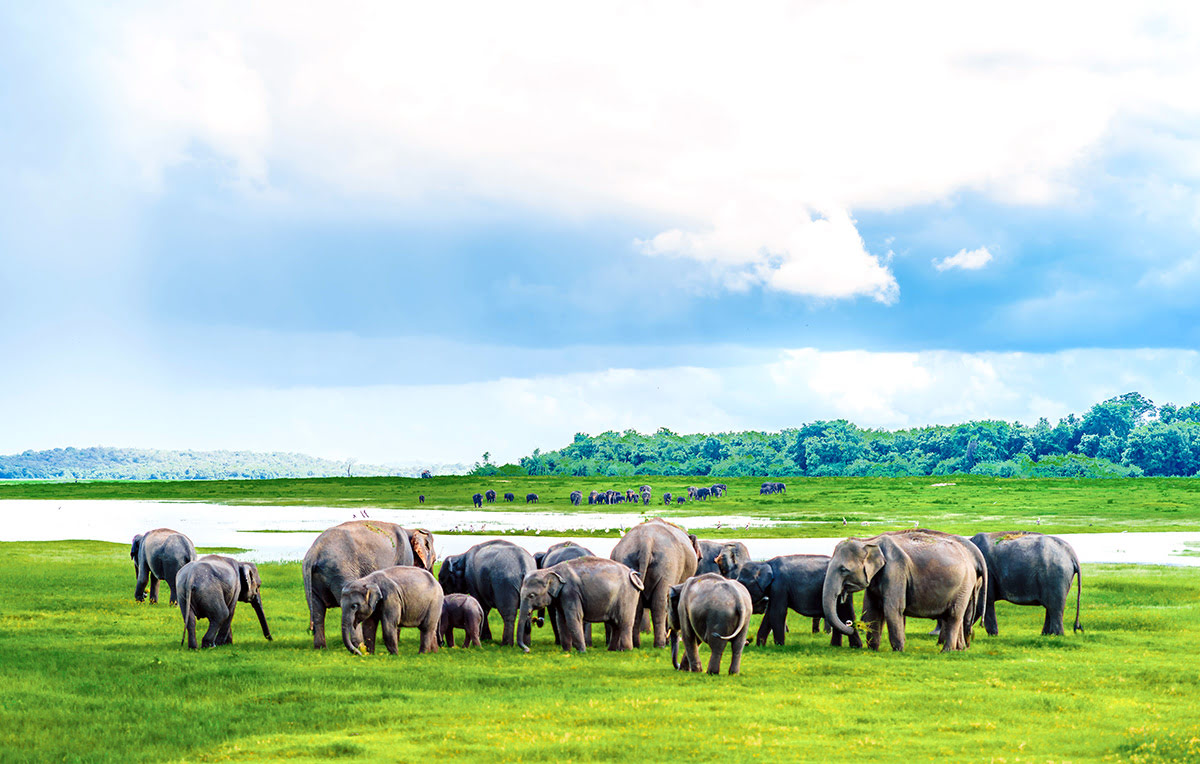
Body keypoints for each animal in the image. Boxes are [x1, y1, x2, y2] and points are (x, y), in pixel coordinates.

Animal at [304, 518, 436, 647]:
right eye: (435, 560)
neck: (410, 530)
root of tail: (314, 553)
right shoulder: (405, 557)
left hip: (315, 579)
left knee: (318, 612)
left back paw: (321, 648)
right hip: (340, 572)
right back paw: (360, 646)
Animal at [518, 551, 648, 652]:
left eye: (531, 595)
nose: (527, 650)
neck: (550, 570)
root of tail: (634, 574)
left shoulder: (570, 592)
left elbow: (573, 618)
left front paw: (582, 651)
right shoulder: (561, 597)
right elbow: (561, 620)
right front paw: (566, 651)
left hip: (627, 595)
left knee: (624, 622)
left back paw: (625, 651)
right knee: (615, 624)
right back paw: (611, 650)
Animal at [609, 515, 700, 647]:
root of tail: (645, 541)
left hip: (627, 559)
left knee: (637, 604)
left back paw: (636, 644)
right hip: (668, 565)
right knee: (660, 602)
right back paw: (660, 644)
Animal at [825, 530, 984, 647]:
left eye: (843, 569)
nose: (851, 624)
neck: (870, 541)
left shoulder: (895, 570)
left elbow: (893, 608)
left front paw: (899, 650)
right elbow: (872, 610)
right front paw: (873, 649)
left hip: (964, 584)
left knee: (954, 614)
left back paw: (947, 651)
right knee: (959, 615)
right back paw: (960, 649)